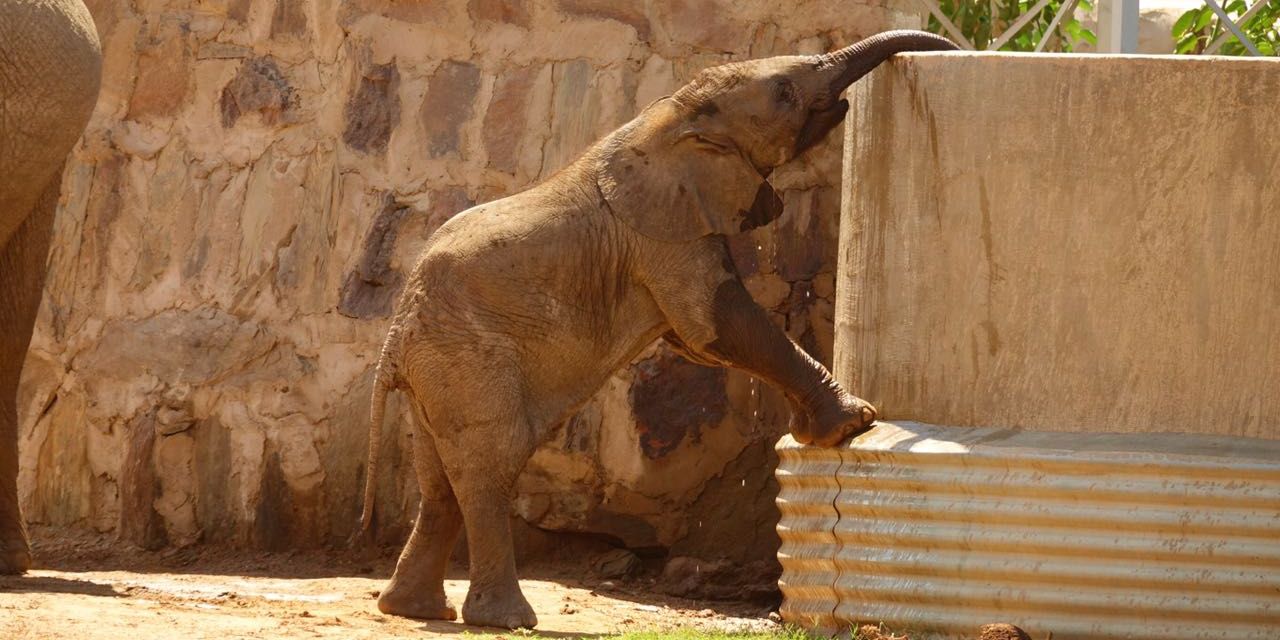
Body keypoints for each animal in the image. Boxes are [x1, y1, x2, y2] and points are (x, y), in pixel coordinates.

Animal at [357, 30, 958, 629]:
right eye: (784, 92)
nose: (948, 46)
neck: (672, 115)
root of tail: (394, 341)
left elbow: (698, 339)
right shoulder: (663, 237)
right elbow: (717, 323)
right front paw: (854, 422)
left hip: (436, 369)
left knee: (440, 481)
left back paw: (413, 608)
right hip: (468, 359)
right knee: (488, 467)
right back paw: (507, 619)